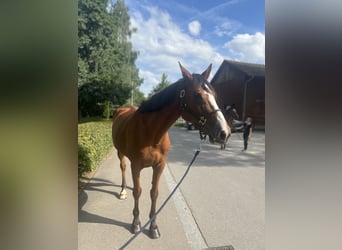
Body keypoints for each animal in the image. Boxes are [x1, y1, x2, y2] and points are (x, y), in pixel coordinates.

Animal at [112, 62, 230, 238]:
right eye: (197, 95)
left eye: (214, 94)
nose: (224, 132)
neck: (151, 132)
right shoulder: (136, 165)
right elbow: (138, 192)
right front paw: (136, 224)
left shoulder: (159, 165)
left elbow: (154, 192)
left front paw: (153, 227)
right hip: (120, 153)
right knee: (123, 168)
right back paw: (123, 190)